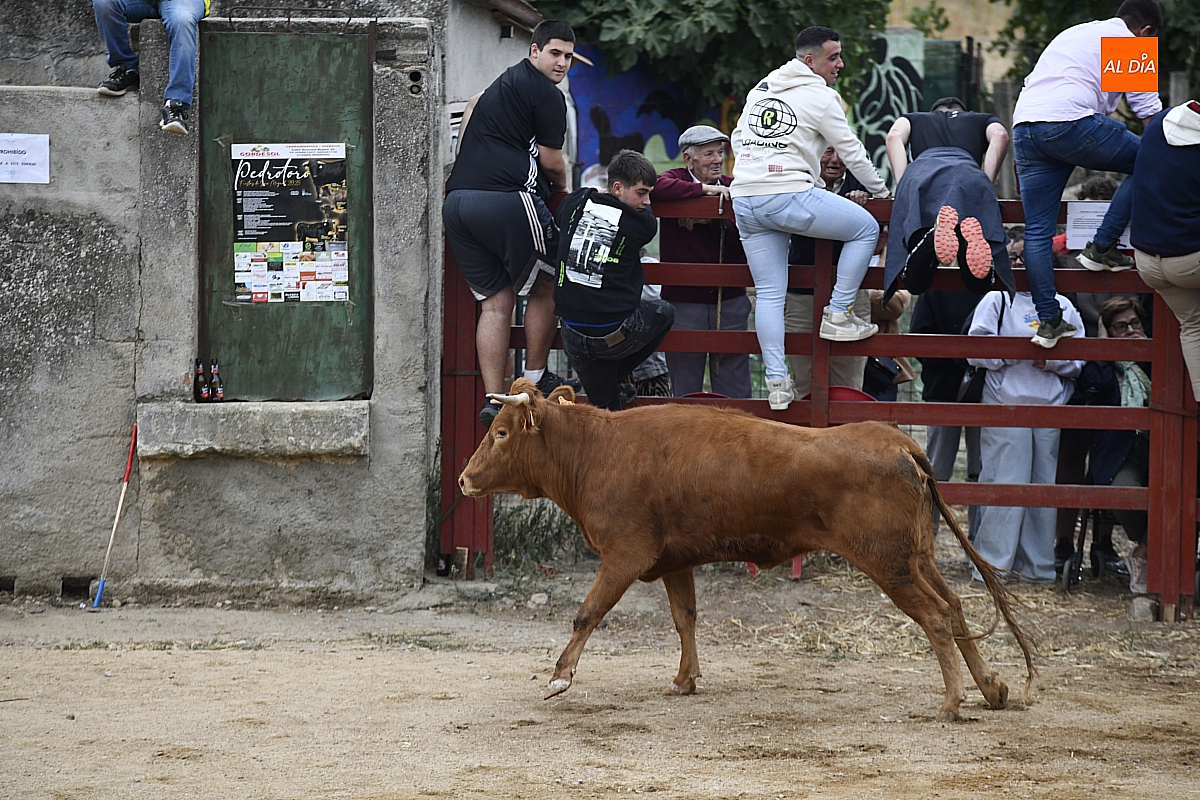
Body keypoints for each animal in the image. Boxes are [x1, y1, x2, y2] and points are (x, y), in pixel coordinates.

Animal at [458, 378, 1035, 722]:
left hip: (889, 566)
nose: (464, 479)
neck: (598, 451)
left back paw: (953, 702)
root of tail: (899, 442)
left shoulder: (624, 557)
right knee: (955, 608)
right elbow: (685, 617)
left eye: (502, 431)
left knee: (936, 616)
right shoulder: (675, 562)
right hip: (916, 559)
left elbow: (587, 613)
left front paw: (559, 678)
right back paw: (992, 687)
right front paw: (684, 679)